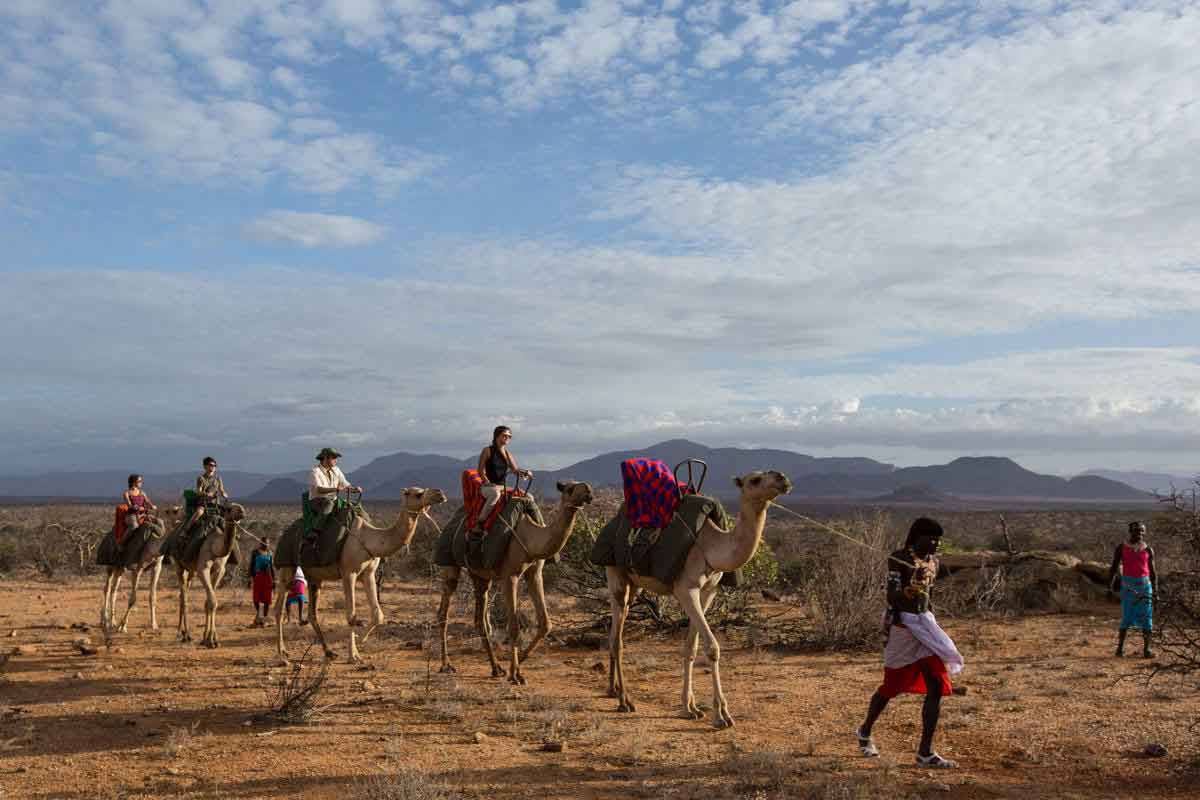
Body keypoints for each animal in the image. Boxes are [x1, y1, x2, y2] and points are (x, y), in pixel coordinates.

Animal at [174, 503, 246, 647]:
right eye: (229, 508)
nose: (242, 511)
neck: (215, 547)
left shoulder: (219, 570)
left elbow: (209, 602)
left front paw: (208, 638)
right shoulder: (203, 568)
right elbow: (212, 601)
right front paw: (211, 641)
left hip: (191, 570)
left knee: (184, 592)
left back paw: (184, 633)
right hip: (179, 565)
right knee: (183, 597)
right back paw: (184, 634)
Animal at [272, 489, 451, 662]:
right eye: (418, 494)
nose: (440, 494)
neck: (369, 539)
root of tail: (284, 533)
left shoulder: (368, 573)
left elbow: (378, 614)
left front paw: (361, 640)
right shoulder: (348, 573)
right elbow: (351, 615)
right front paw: (353, 655)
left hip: (314, 577)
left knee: (312, 613)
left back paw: (328, 652)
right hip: (287, 565)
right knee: (279, 607)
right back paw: (282, 654)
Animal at [439, 482, 592, 690]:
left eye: (585, 487)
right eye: (570, 489)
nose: (589, 493)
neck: (530, 537)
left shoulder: (535, 573)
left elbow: (546, 623)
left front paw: (521, 663)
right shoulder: (509, 576)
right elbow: (513, 626)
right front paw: (515, 674)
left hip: (480, 575)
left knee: (481, 619)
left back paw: (496, 668)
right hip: (451, 563)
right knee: (444, 611)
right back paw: (446, 665)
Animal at [604, 472, 792, 729]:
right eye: (754, 479)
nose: (783, 479)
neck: (712, 546)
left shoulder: (708, 591)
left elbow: (690, 648)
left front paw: (690, 707)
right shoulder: (686, 589)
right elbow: (711, 647)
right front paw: (721, 715)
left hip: (634, 584)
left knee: (615, 630)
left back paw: (612, 690)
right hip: (616, 574)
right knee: (617, 637)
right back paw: (625, 700)